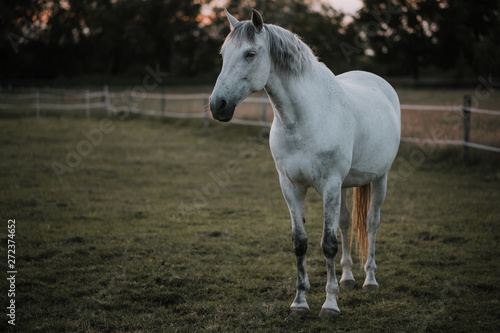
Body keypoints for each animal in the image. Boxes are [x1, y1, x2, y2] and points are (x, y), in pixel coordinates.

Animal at [209, 9, 400, 318]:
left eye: (250, 54)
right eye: (223, 54)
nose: (218, 106)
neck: (304, 118)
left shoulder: (330, 185)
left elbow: (328, 244)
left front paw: (330, 304)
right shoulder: (291, 186)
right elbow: (301, 243)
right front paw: (299, 302)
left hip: (379, 179)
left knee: (371, 223)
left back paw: (369, 280)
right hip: (346, 186)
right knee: (346, 223)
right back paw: (348, 278)